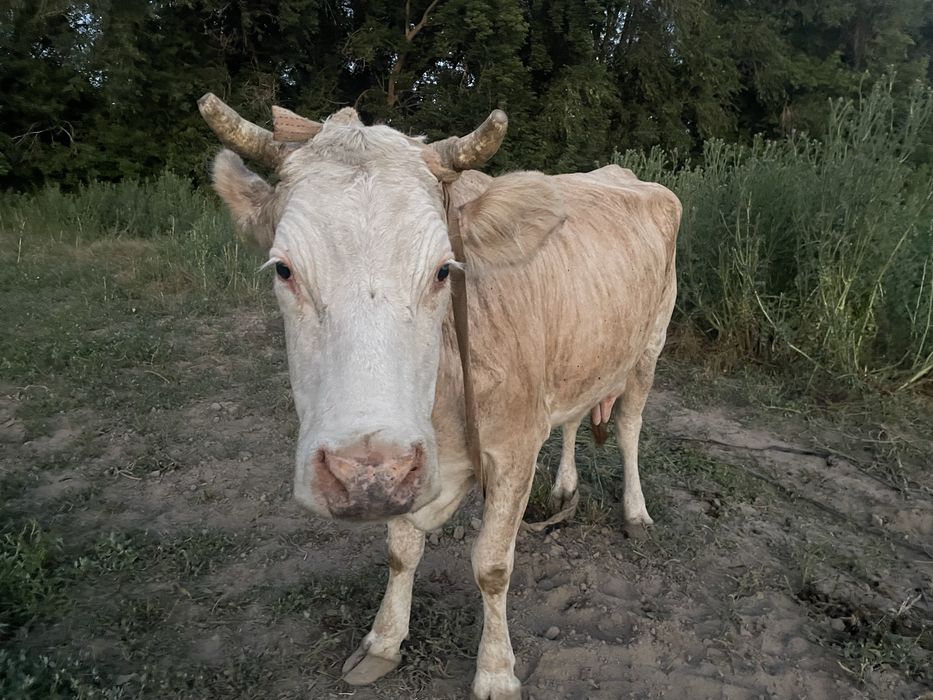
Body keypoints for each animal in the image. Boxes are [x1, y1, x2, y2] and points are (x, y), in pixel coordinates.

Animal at [198, 93, 680, 700]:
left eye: (443, 270)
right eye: (283, 269)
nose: (362, 473)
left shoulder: (513, 450)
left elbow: (492, 565)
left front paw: (496, 671)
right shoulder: (414, 460)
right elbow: (400, 551)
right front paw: (383, 641)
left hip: (649, 347)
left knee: (630, 425)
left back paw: (635, 512)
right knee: (572, 417)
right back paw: (565, 487)